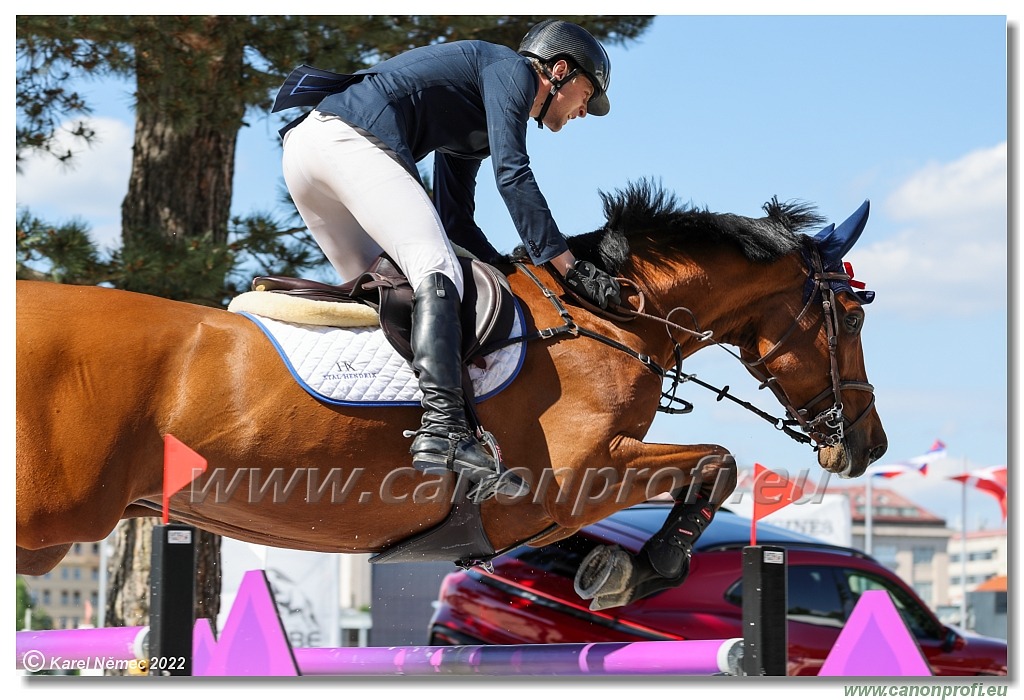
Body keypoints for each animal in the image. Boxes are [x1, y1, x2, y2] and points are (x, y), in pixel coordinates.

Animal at [12, 179, 884, 605]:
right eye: (849, 314)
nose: (868, 445)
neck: (607, 317)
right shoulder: (573, 476)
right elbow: (716, 460)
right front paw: (635, 573)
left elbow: (705, 466)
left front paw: (612, 571)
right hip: (47, 523)